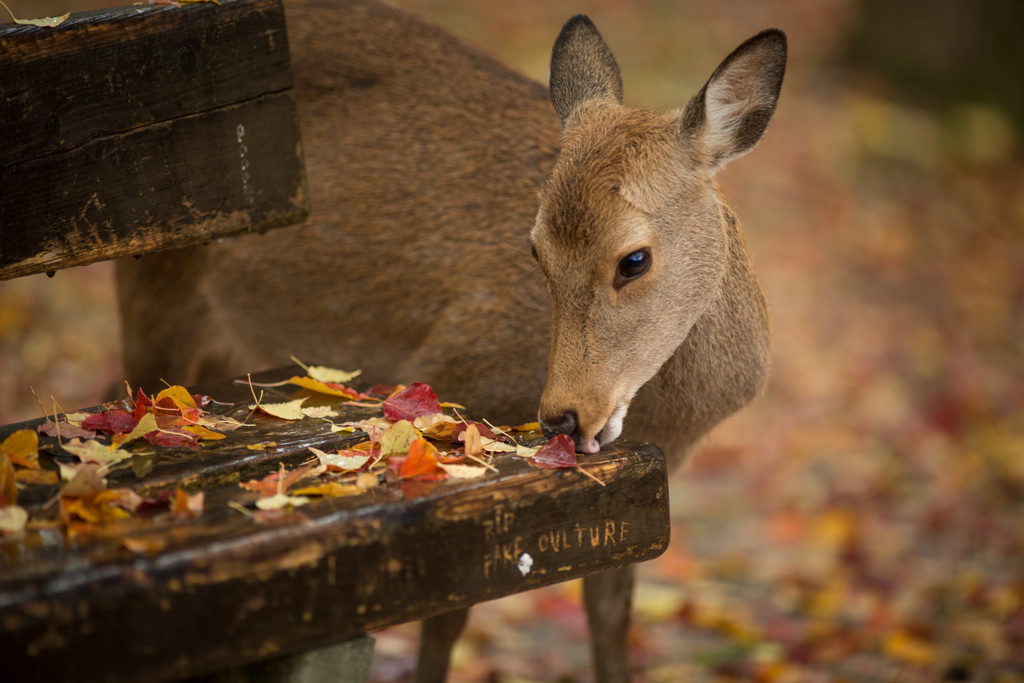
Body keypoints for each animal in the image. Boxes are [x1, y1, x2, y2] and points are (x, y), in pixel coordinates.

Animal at [114, 1, 782, 683]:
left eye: (635, 258)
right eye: (535, 249)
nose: (564, 418)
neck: (673, 417)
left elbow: (610, 618)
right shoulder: (456, 386)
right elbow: (447, 619)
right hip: (153, 285)